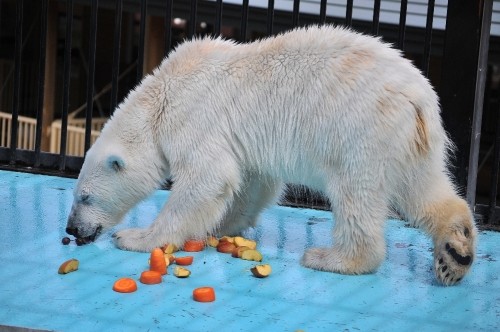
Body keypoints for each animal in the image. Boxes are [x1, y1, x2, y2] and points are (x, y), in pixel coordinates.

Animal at [66, 26, 476, 286]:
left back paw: (331, 258)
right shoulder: (242, 144)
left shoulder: (195, 117)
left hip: (361, 131)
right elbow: (252, 183)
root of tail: (419, 98)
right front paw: (220, 228)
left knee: (357, 194)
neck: (161, 97)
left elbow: (208, 178)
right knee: (425, 188)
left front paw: (137, 237)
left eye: (84, 197)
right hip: (411, 142)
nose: (71, 229)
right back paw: (455, 253)